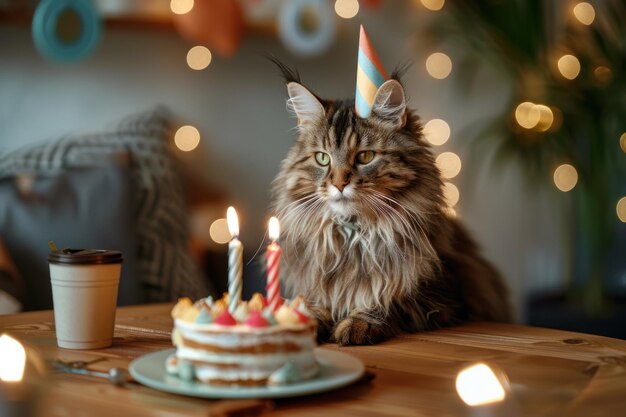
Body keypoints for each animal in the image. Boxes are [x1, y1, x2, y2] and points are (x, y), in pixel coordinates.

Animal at [270, 62, 510, 344]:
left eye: (365, 156)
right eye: (322, 158)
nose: (339, 184)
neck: (354, 236)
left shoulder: (442, 293)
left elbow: (386, 299)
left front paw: (359, 323)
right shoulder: (314, 284)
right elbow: (313, 303)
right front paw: (305, 321)